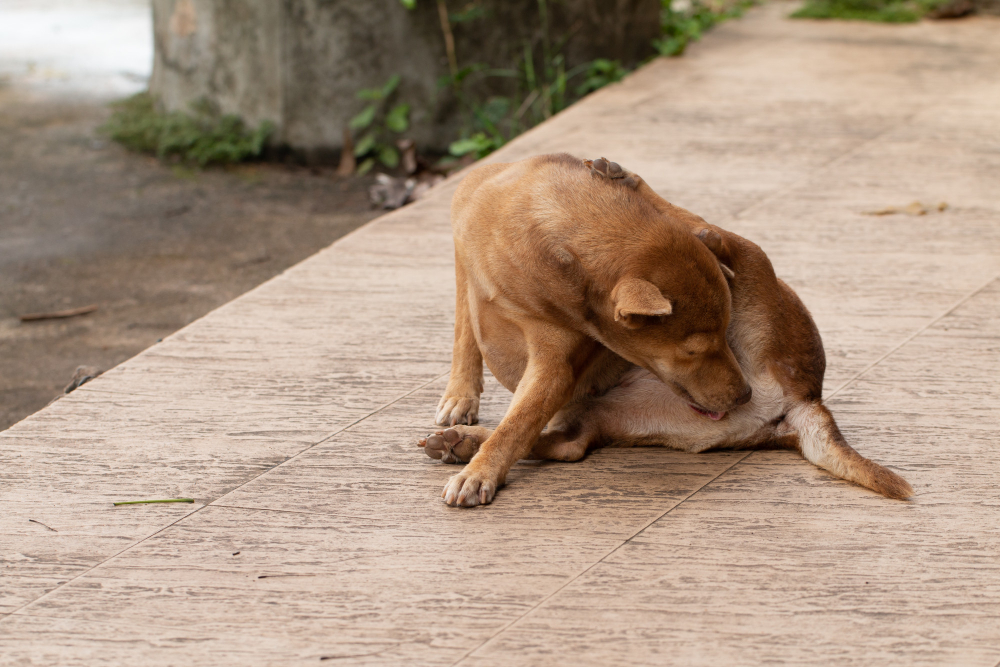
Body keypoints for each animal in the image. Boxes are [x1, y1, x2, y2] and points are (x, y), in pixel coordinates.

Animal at [418, 154, 912, 506]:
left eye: (720, 337)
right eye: (692, 351)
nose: (743, 396)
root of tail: (806, 398)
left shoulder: (555, 363)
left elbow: (517, 425)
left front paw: (480, 474)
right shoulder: (464, 263)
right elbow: (466, 337)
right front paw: (460, 402)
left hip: (759, 279)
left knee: (719, 235)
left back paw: (628, 179)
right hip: (609, 419)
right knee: (567, 445)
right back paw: (461, 442)